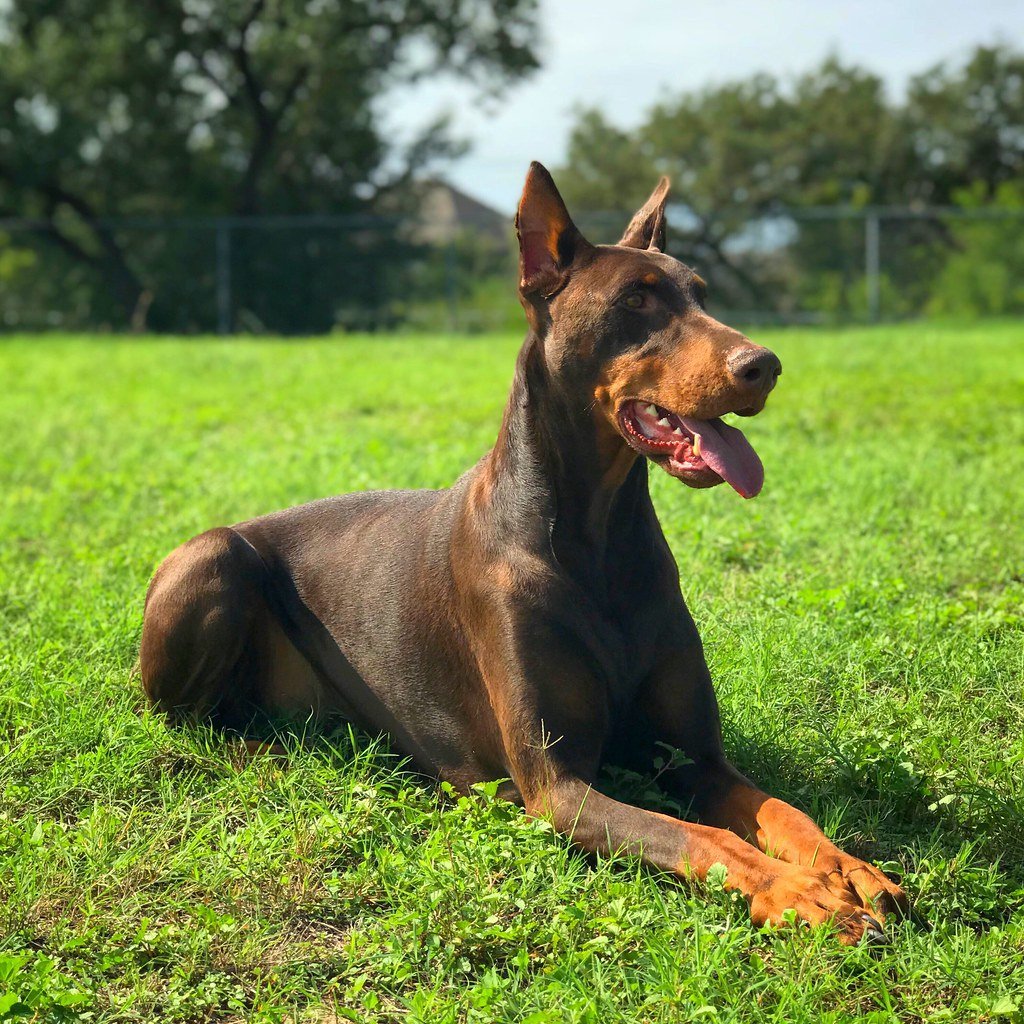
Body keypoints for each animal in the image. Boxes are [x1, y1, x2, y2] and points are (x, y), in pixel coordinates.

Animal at [140, 161, 909, 942]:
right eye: (636, 298)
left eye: (701, 293)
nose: (766, 365)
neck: (597, 538)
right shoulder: (556, 784)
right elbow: (703, 837)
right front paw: (800, 892)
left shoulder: (691, 757)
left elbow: (781, 811)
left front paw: (847, 870)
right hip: (214, 557)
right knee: (189, 721)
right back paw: (279, 752)